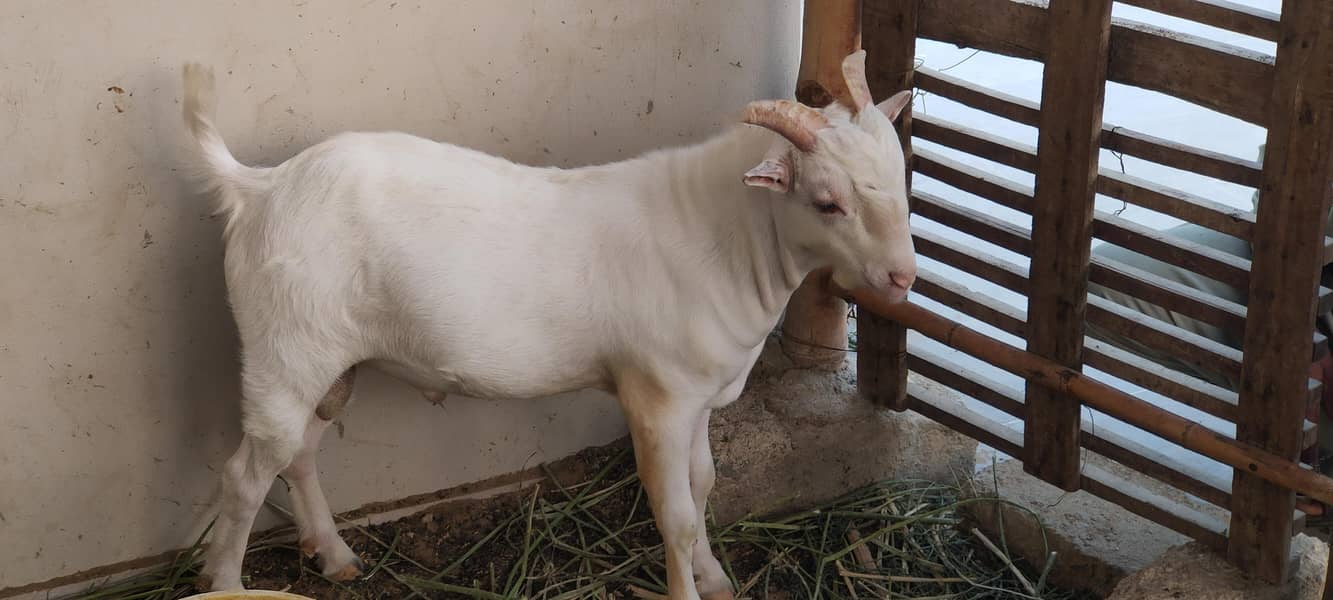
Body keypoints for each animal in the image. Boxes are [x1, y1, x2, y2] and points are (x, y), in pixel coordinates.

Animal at [181, 50, 915, 600]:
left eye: (902, 175)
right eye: (827, 202)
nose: (902, 277)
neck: (723, 236)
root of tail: (258, 187)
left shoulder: (701, 394)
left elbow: (704, 485)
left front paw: (713, 576)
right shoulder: (656, 397)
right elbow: (674, 514)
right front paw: (689, 582)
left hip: (331, 359)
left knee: (301, 452)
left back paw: (333, 556)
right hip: (281, 351)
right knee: (245, 475)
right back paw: (227, 584)